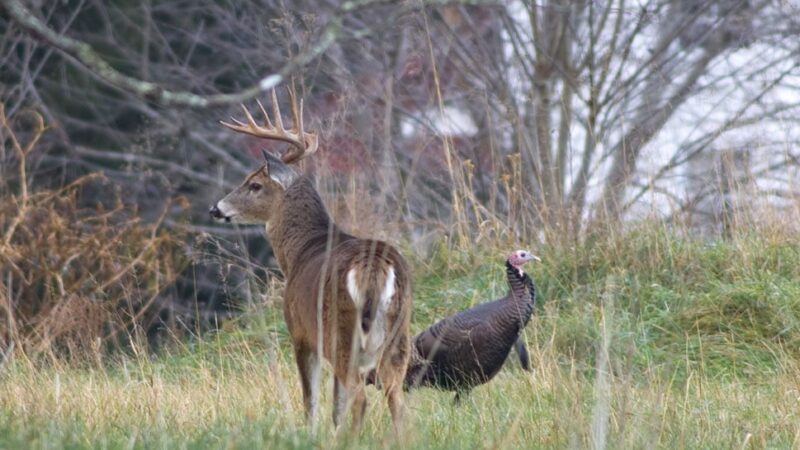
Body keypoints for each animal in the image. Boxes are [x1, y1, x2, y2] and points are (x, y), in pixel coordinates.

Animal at [209, 87, 412, 432]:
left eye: (254, 184)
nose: (216, 208)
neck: (300, 251)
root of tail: (374, 268)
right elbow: (335, 406)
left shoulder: (301, 332)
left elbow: (311, 401)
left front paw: (311, 435)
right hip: (399, 336)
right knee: (396, 400)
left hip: (341, 333)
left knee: (361, 400)